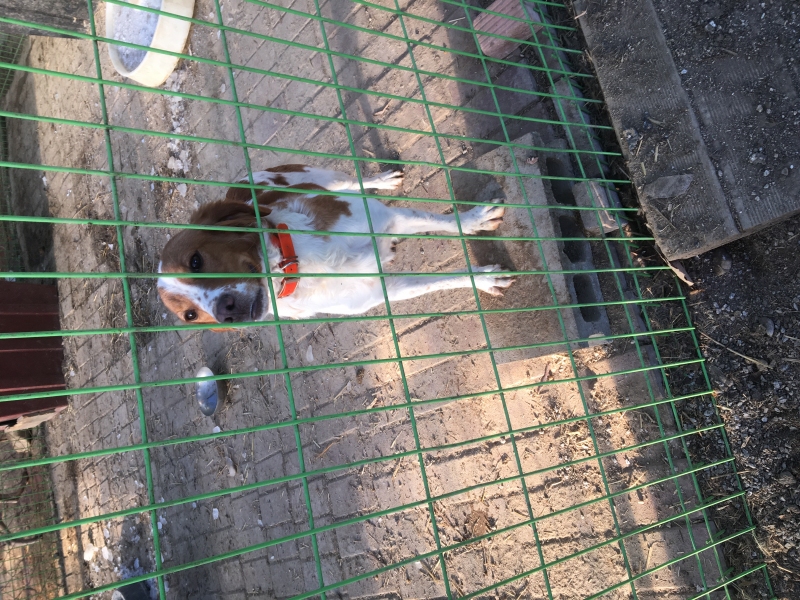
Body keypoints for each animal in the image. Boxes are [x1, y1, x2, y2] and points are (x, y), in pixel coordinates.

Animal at [157, 165, 514, 324]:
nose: (224, 313)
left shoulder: (387, 218)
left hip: (323, 178)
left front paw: (475, 221)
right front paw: (484, 279)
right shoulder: (384, 289)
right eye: (190, 315)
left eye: (195, 260)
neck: (299, 264)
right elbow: (439, 280)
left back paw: (381, 180)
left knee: (351, 181)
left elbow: (446, 222)